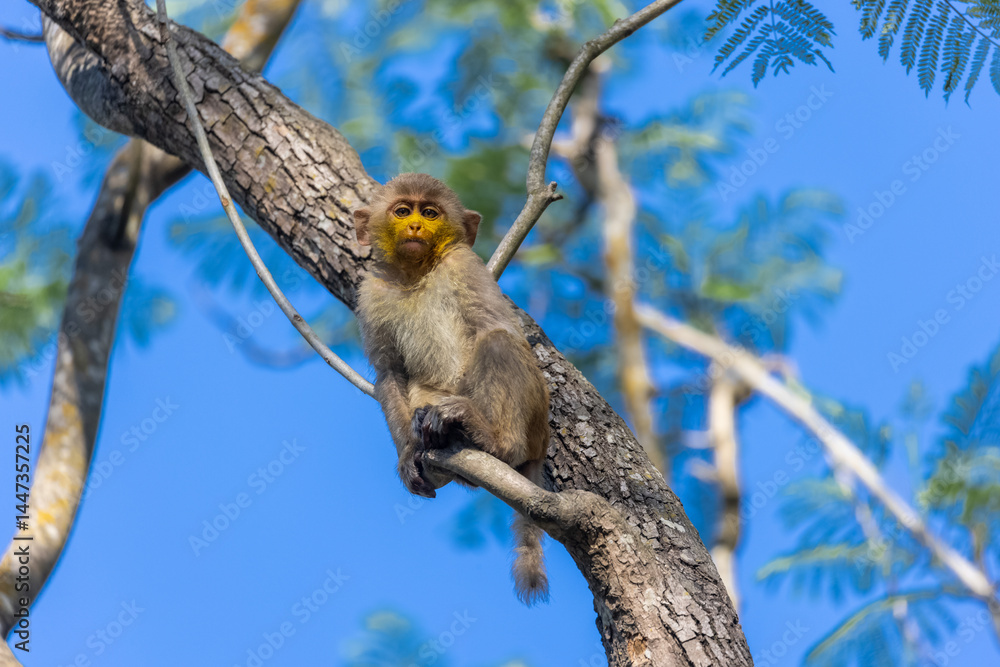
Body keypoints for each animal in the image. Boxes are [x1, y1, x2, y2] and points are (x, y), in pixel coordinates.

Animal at [353, 173, 551, 605]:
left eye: (430, 213)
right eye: (402, 210)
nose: (415, 227)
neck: (416, 273)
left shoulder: (465, 265)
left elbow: (502, 330)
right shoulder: (372, 292)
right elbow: (389, 373)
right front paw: (408, 452)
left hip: (532, 422)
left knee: (497, 341)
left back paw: (494, 440)